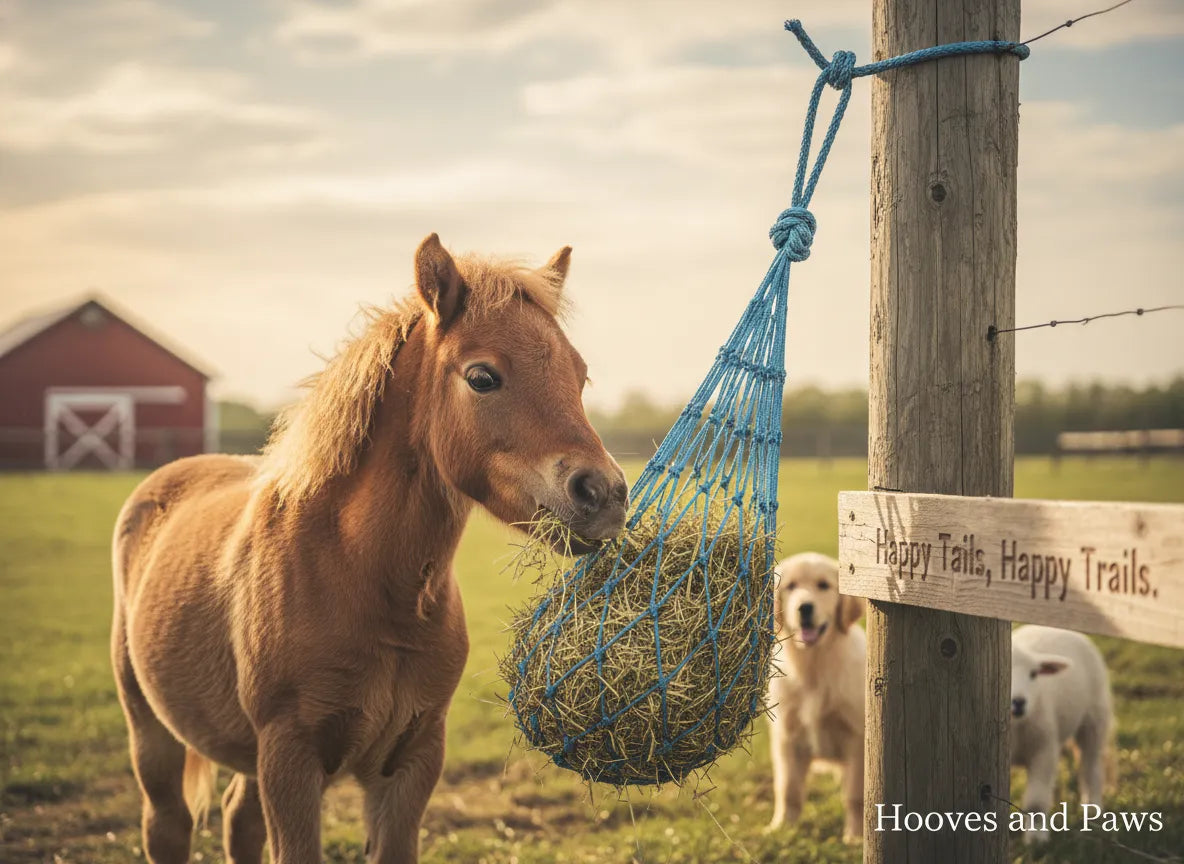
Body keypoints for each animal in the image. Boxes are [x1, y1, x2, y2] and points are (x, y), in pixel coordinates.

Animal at [110, 233, 628, 864]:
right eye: (483, 377)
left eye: (579, 376)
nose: (603, 493)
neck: (362, 581)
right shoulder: (291, 760)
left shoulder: (412, 760)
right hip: (150, 732)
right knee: (167, 824)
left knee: (238, 821)